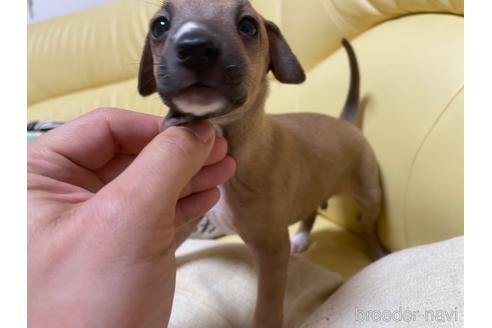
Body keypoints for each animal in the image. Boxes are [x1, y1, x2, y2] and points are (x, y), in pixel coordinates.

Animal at [137, 1, 384, 326]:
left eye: (248, 26)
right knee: (311, 211)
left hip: (369, 195)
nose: (195, 47)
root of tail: (346, 122)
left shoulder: (271, 249)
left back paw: (376, 250)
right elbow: (171, 245)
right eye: (160, 25)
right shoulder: (185, 220)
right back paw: (302, 238)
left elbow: (267, 305)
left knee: (367, 224)